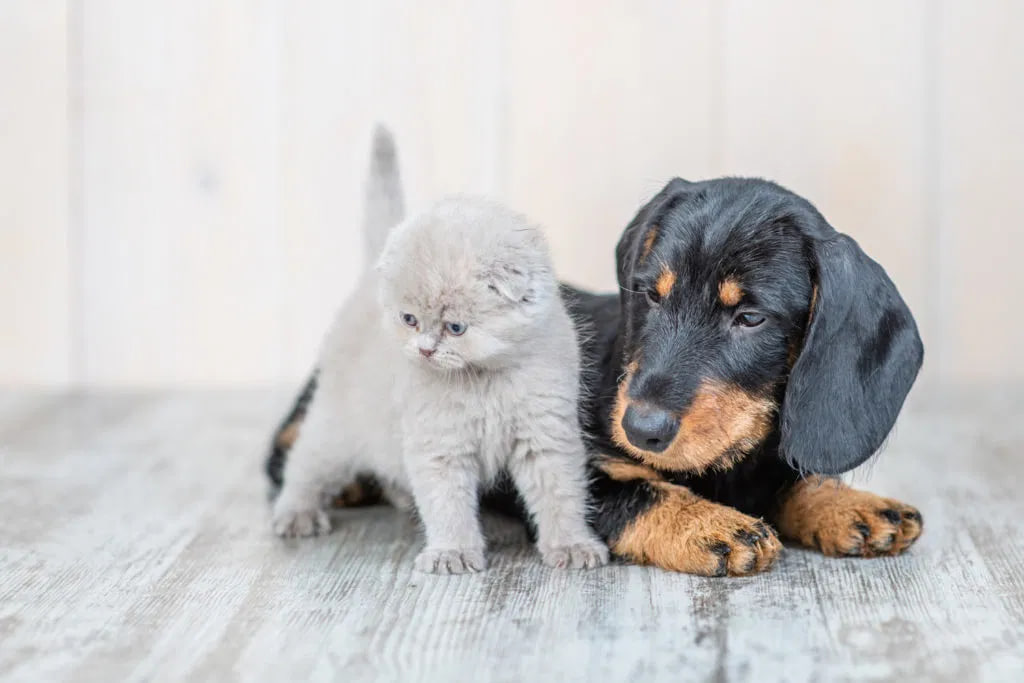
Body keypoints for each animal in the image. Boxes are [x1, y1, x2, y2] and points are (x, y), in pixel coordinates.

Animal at [378, 196, 606, 573]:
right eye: (409, 319)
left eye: (456, 328)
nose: (425, 350)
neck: (484, 376)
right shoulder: (440, 442)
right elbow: (447, 505)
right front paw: (452, 553)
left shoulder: (545, 434)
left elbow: (561, 495)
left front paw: (572, 545)